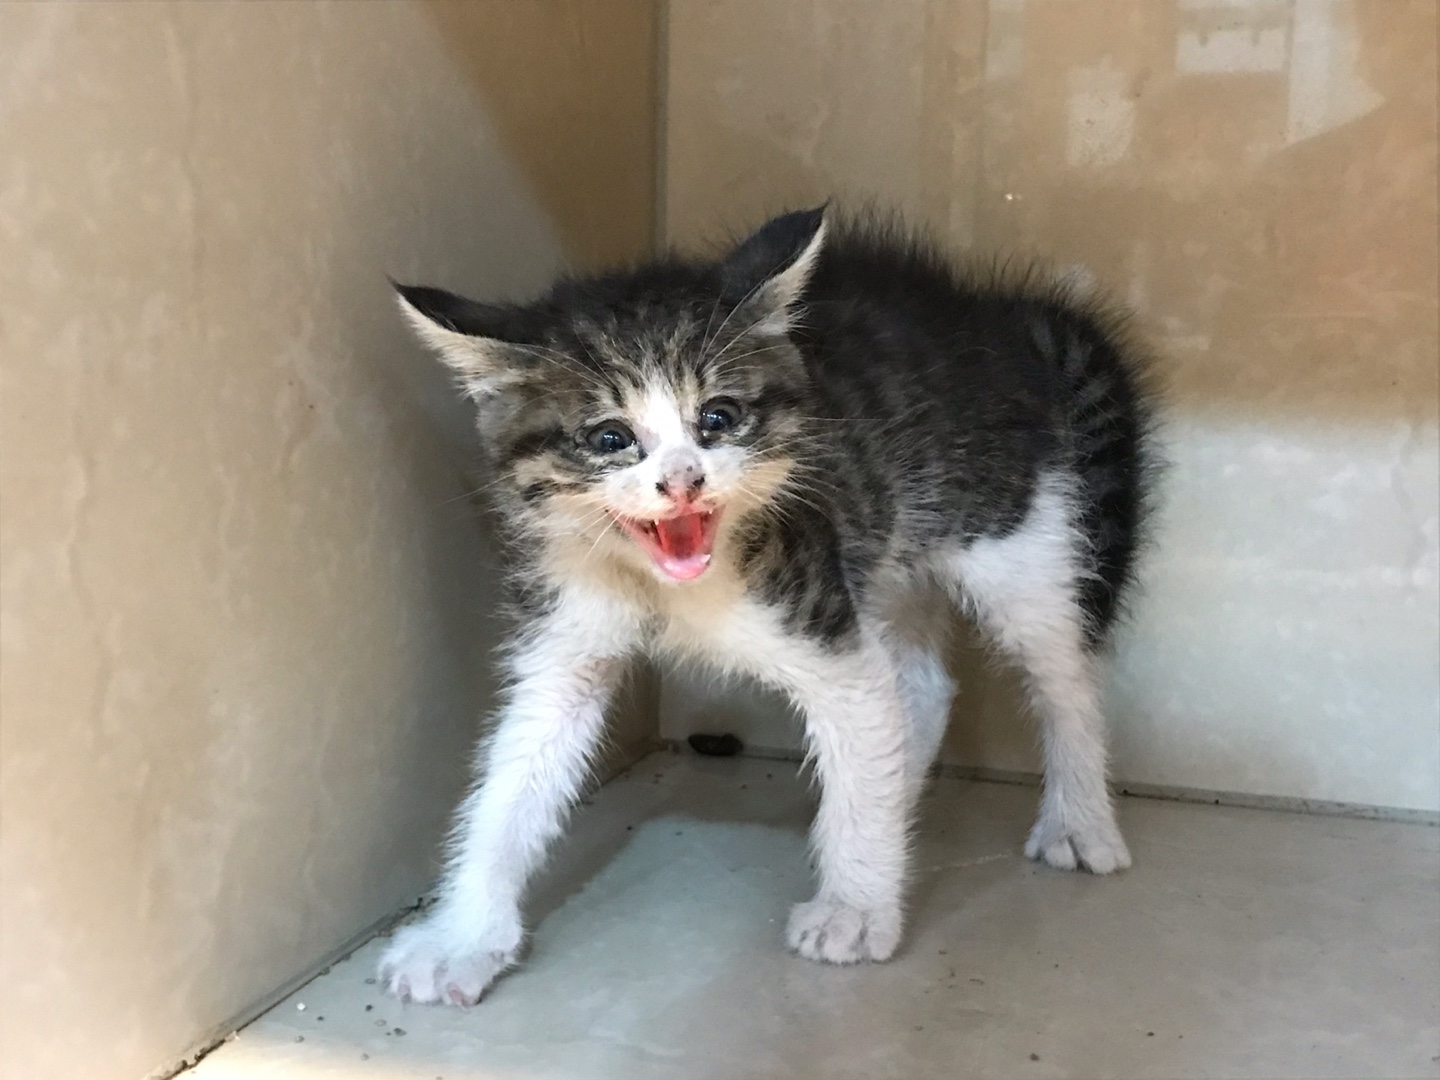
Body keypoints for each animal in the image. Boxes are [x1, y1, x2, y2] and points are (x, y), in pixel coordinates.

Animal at [377, 208, 1152, 1008]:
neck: (673, 585)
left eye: (717, 418)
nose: (683, 480)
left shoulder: (818, 608)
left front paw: (854, 908)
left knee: (1062, 672)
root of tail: (998, 314)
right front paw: (461, 940)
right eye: (611, 438)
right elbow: (514, 773)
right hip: (882, 550)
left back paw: (1078, 822)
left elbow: (864, 706)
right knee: (919, 688)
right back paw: (899, 797)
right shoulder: (568, 627)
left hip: (1014, 529)